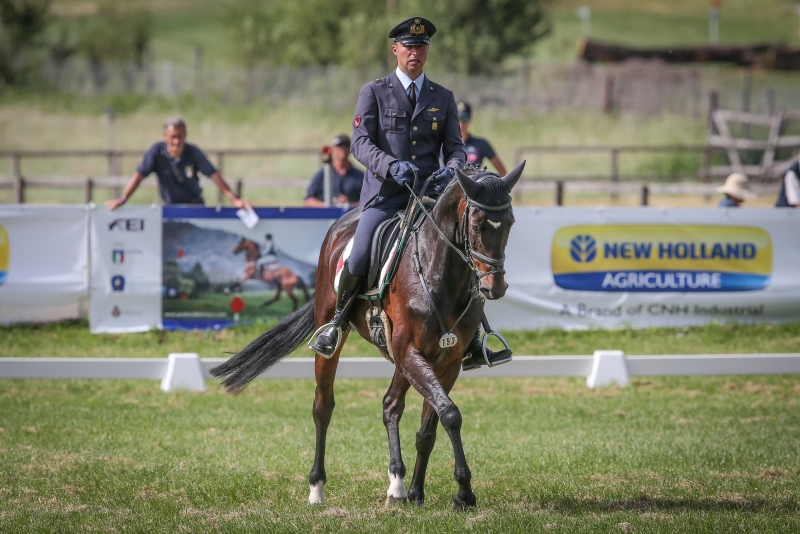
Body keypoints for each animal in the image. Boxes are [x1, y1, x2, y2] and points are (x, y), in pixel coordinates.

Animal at [212, 163, 524, 510]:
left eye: (509, 223)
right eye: (478, 225)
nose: (494, 288)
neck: (438, 274)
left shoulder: (448, 361)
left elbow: (431, 426)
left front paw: (423, 493)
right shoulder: (410, 352)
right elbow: (450, 414)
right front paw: (464, 493)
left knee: (391, 405)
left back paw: (399, 486)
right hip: (338, 333)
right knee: (323, 406)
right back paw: (318, 488)